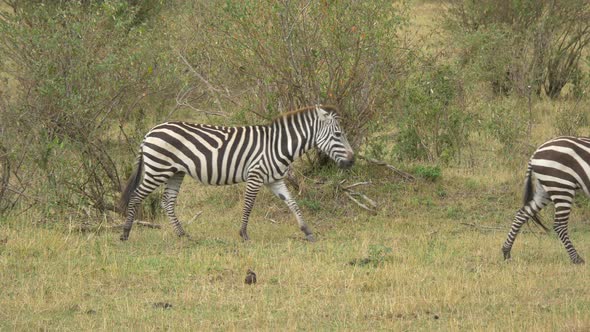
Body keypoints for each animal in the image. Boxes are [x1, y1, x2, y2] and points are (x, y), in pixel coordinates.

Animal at [118, 105, 354, 243]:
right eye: (338, 134)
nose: (352, 161)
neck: (277, 145)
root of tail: (151, 131)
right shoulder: (255, 175)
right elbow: (248, 205)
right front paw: (244, 234)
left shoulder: (275, 180)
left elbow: (292, 203)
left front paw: (307, 231)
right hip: (157, 169)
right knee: (137, 196)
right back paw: (125, 233)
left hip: (175, 172)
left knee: (167, 201)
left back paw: (183, 235)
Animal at [504, 136, 590, 264]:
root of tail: (537, 150)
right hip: (561, 186)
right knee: (559, 225)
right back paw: (577, 259)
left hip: (545, 189)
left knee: (522, 214)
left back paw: (506, 252)